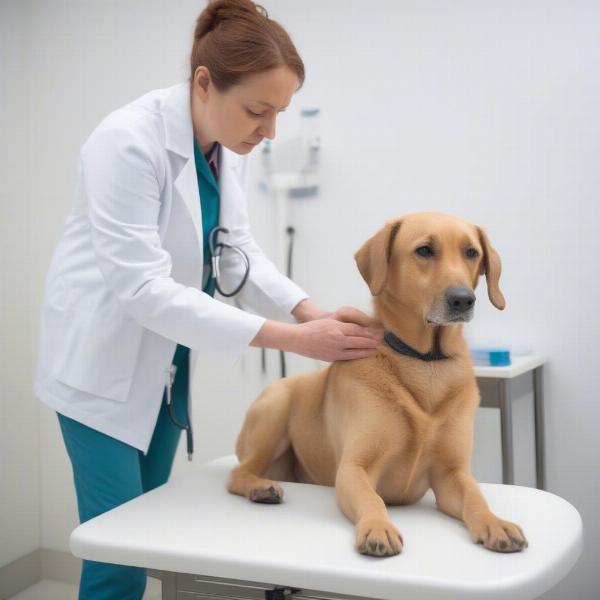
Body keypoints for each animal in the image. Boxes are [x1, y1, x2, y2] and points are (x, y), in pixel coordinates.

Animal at [227, 212, 528, 556]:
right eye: (425, 250)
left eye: (471, 252)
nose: (463, 299)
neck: (425, 360)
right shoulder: (354, 468)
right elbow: (373, 498)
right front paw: (378, 527)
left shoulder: (452, 473)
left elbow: (476, 497)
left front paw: (494, 522)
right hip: (274, 408)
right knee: (238, 472)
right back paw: (260, 487)